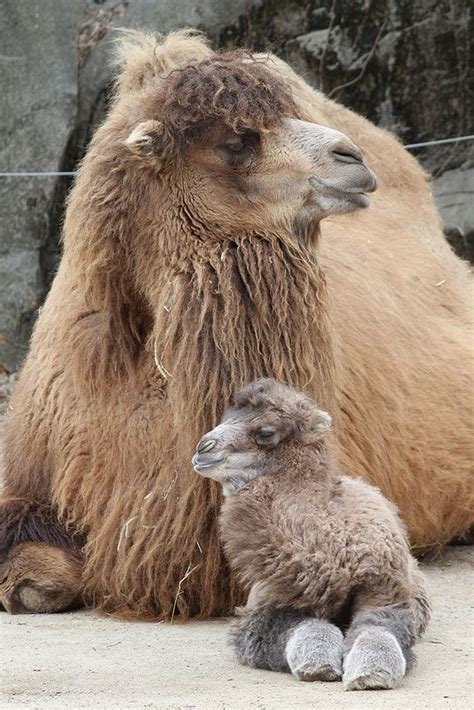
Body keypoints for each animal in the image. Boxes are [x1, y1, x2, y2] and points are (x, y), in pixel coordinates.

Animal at [193, 378, 431, 689]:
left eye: (265, 432)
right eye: (225, 418)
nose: (202, 448)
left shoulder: (387, 592)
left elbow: (379, 630)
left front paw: (371, 675)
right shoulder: (268, 604)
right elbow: (304, 627)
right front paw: (319, 666)